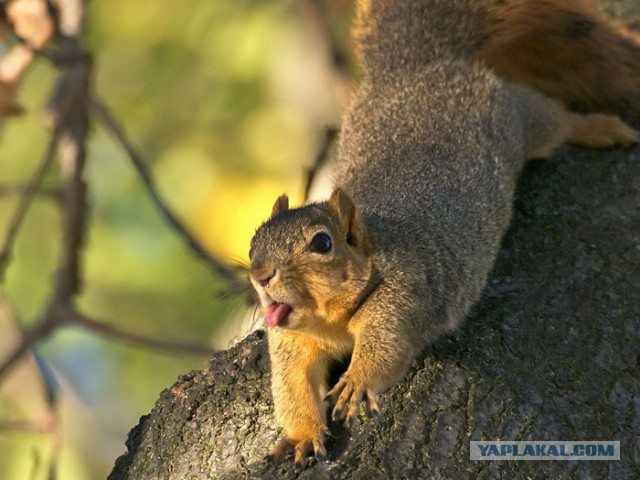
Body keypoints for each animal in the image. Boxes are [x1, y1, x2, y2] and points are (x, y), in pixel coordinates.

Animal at [248, 0, 636, 466]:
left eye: (322, 243)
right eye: (252, 245)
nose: (260, 275)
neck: (330, 321)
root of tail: (415, 66)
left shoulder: (406, 292)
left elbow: (388, 347)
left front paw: (357, 380)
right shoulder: (291, 343)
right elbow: (292, 389)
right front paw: (303, 435)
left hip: (515, 115)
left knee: (552, 117)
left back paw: (599, 128)